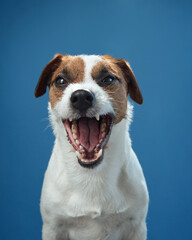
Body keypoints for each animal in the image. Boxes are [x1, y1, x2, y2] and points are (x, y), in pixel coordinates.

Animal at [34, 54, 148, 240]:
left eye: (108, 79)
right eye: (60, 80)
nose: (81, 97)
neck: (92, 175)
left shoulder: (136, 226)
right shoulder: (53, 227)